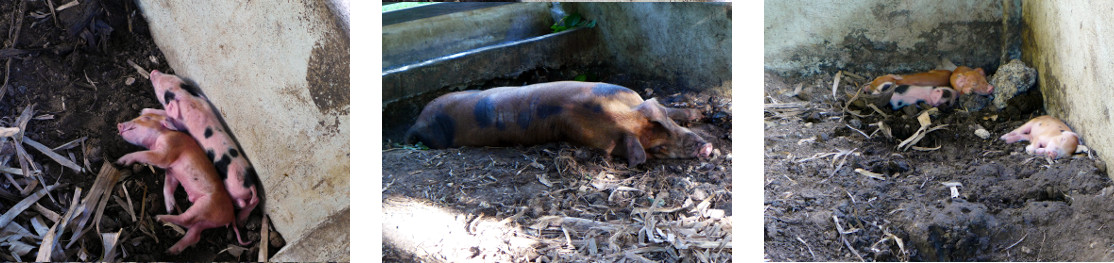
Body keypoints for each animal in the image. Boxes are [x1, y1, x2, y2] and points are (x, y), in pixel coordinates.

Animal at [116, 110, 247, 252]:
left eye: (146, 118)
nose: (119, 124)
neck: (162, 135)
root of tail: (231, 215)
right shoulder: (171, 171)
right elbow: (168, 186)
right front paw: (170, 207)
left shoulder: (168, 150)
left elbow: (146, 155)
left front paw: (120, 161)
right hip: (205, 220)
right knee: (194, 234)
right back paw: (170, 251)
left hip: (206, 206)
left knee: (186, 220)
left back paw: (159, 218)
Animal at [149, 70, 259, 222]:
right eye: (173, 77)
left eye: (164, 93)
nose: (153, 72)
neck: (187, 99)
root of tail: (250, 183)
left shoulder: (182, 123)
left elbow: (171, 120)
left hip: (233, 189)